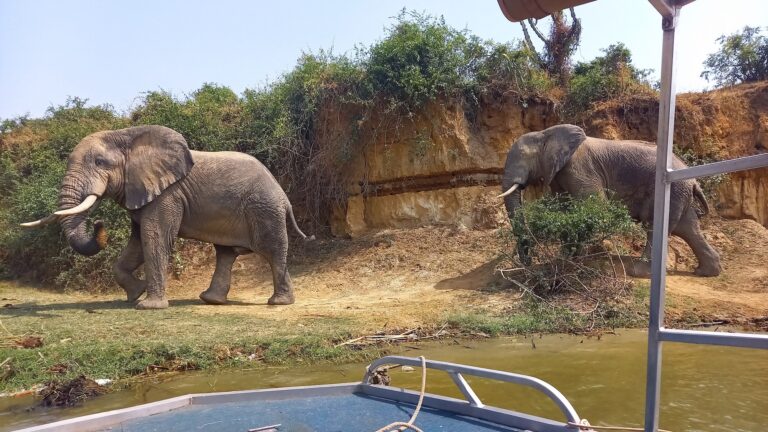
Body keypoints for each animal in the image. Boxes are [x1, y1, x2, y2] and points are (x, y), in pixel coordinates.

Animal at [24, 124, 312, 308]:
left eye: (99, 163)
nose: (98, 222)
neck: (126, 136)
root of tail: (283, 194)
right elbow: (138, 242)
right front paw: (136, 294)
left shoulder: (167, 195)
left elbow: (155, 238)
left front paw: (147, 306)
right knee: (226, 253)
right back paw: (211, 300)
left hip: (263, 209)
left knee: (270, 249)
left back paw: (277, 303)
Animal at [500, 123, 724, 276]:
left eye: (522, 158)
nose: (528, 263)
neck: (546, 132)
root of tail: (693, 180)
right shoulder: (558, 175)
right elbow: (566, 209)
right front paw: (565, 259)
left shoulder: (579, 168)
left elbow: (594, 205)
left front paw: (574, 262)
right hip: (680, 193)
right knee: (687, 228)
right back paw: (706, 272)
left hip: (672, 191)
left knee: (656, 226)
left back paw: (639, 272)